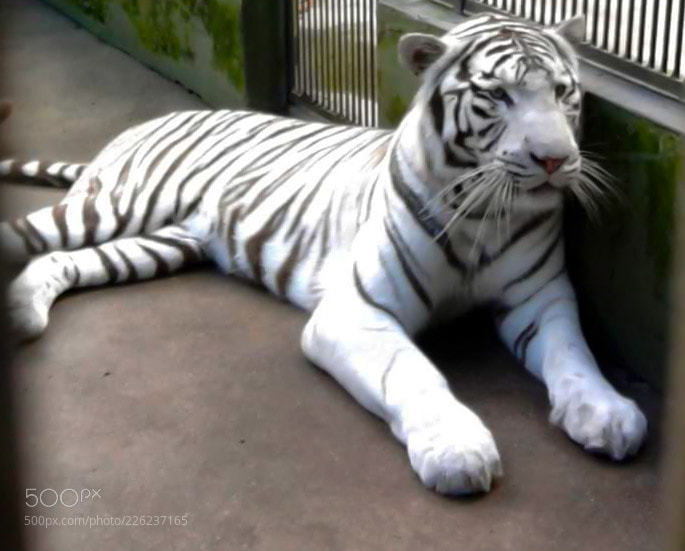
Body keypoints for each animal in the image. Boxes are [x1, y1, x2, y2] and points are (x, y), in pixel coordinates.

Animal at [0, 13, 647, 495]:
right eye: (498, 95)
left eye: (562, 93)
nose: (557, 160)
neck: (484, 215)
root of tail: (141, 125)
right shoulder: (357, 310)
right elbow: (414, 373)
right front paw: (457, 449)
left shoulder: (541, 298)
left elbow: (574, 355)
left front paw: (608, 412)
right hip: (114, 207)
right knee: (26, 237)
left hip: (161, 244)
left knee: (54, 262)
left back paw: (21, 314)